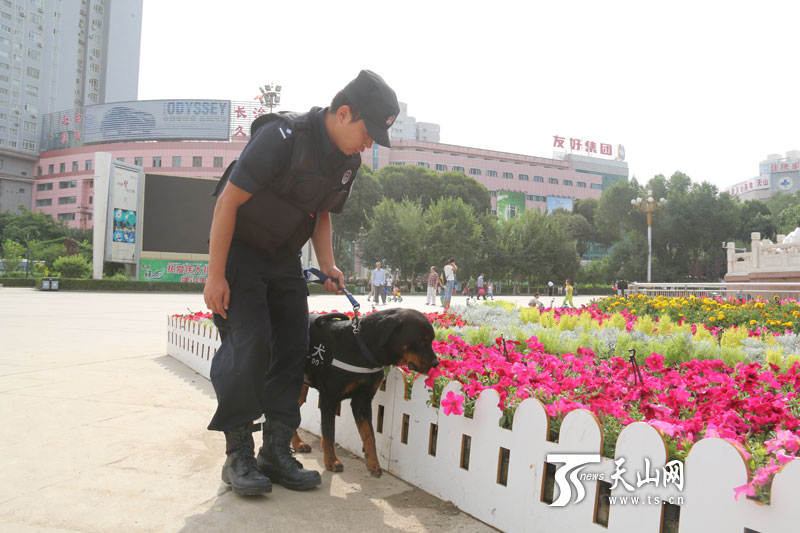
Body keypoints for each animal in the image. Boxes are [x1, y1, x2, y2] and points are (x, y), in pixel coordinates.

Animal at [294, 306, 438, 476]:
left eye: (431, 340)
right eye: (422, 340)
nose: (436, 363)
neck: (362, 351)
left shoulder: (362, 400)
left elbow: (370, 435)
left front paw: (373, 464)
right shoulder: (329, 398)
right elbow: (329, 433)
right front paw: (331, 461)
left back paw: (297, 444)